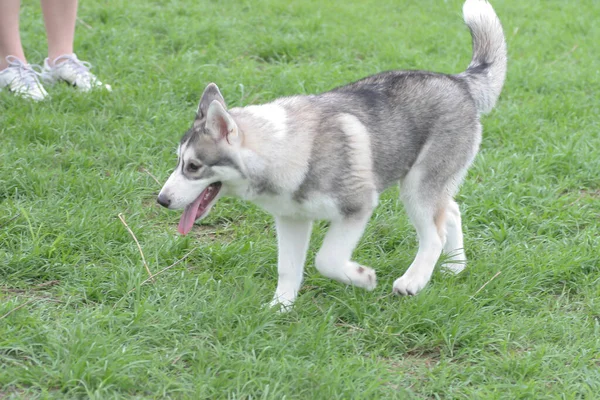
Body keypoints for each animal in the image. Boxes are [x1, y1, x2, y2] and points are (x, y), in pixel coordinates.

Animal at [158, 0, 506, 308]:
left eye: (193, 166)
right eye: (178, 161)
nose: (161, 200)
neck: (284, 148)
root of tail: (458, 82)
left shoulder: (357, 207)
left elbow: (326, 260)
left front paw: (363, 278)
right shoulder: (292, 219)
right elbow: (288, 269)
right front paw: (279, 309)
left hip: (417, 187)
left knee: (433, 234)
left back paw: (413, 281)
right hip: (427, 185)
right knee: (452, 211)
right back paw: (454, 266)